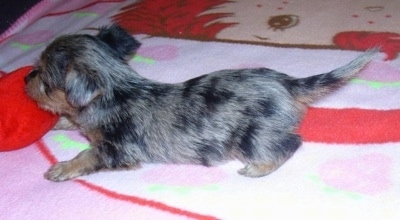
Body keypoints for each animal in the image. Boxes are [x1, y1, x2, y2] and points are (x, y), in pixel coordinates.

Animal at [25, 24, 378, 181]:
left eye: (43, 78)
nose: (25, 78)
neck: (114, 88)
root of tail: (287, 82)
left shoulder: (118, 149)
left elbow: (88, 155)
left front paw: (62, 167)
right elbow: (73, 121)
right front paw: (59, 121)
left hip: (251, 135)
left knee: (289, 143)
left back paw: (258, 168)